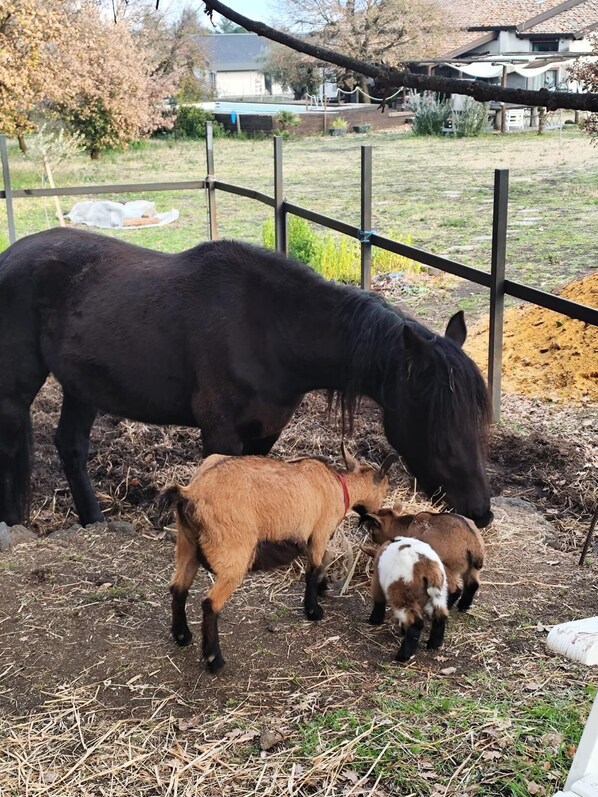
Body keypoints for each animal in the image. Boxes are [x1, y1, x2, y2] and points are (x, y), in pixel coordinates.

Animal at [0, 228, 493, 529]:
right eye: (435, 420)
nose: (480, 511)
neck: (269, 328)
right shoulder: (219, 432)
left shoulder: (265, 429)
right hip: (18, 390)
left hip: (81, 386)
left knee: (71, 447)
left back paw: (95, 522)